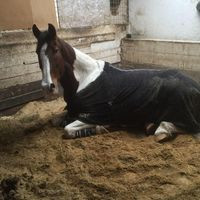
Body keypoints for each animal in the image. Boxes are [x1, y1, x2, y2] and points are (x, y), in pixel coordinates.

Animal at [31, 23, 200, 142]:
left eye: (55, 50)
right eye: (37, 51)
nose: (47, 86)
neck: (85, 80)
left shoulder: (97, 115)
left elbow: (68, 129)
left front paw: (101, 128)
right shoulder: (73, 110)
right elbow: (55, 120)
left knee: (188, 126)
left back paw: (162, 130)